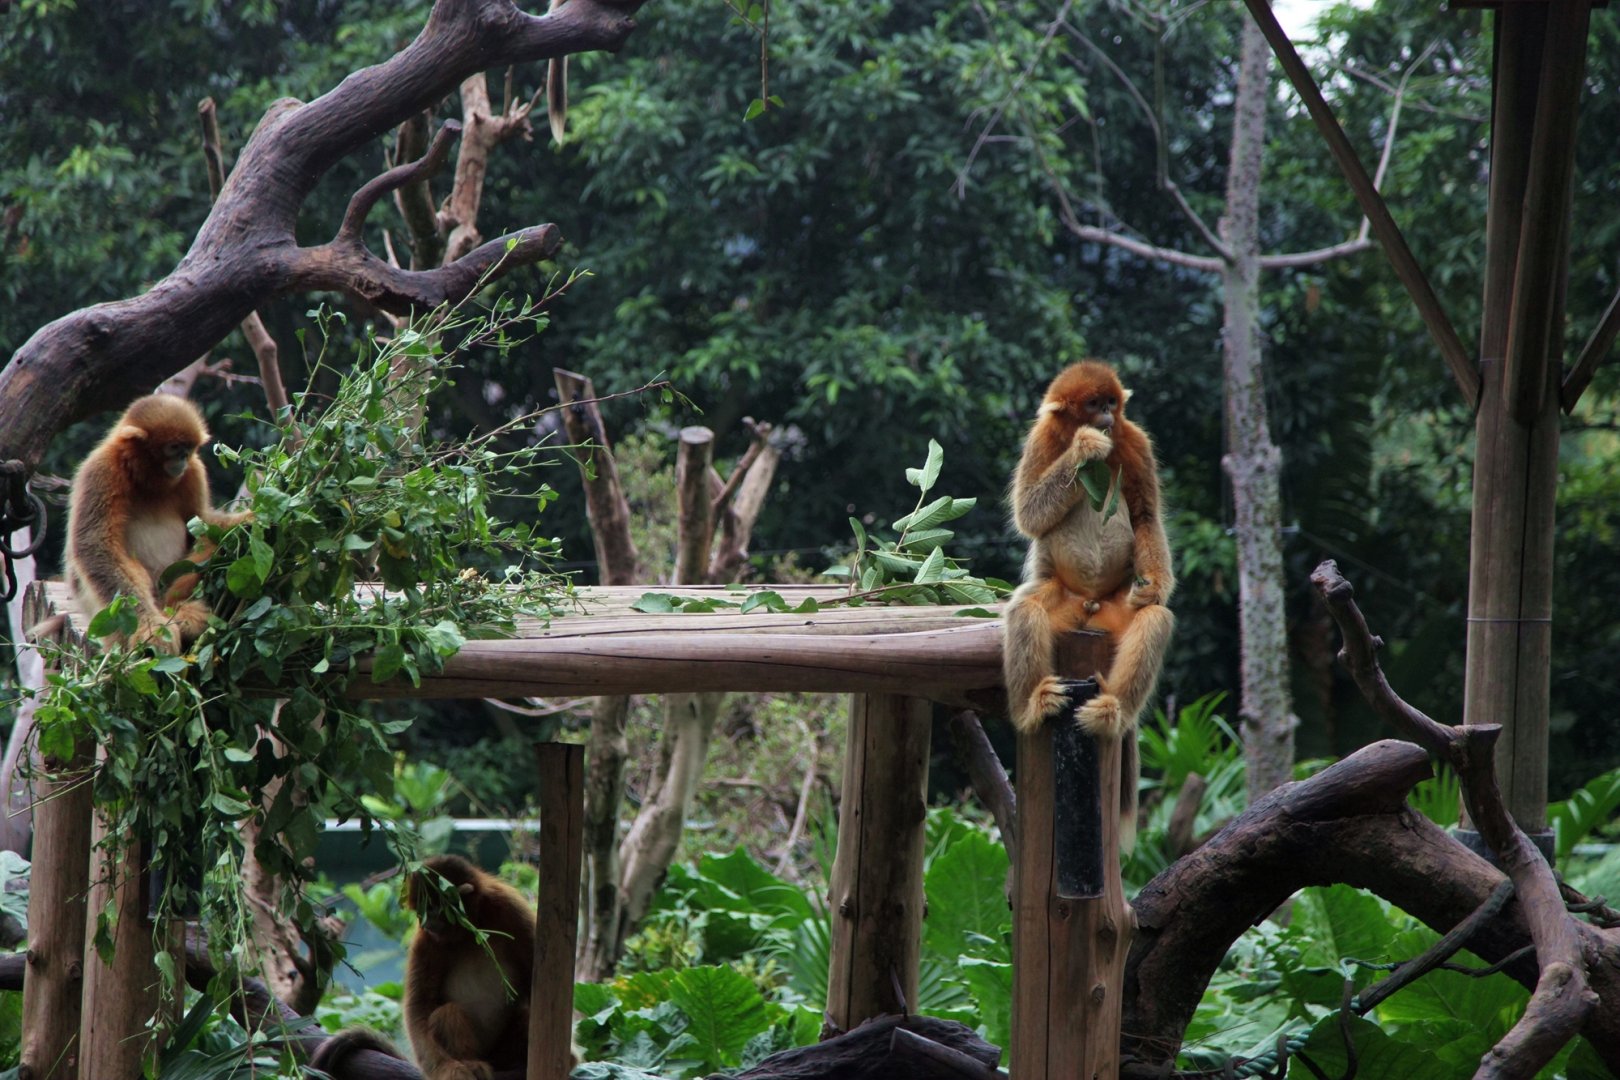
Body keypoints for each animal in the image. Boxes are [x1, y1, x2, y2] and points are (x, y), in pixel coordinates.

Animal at [64, 393, 250, 652]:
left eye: (188, 448)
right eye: (174, 447)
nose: (182, 458)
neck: (148, 481)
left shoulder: (193, 471)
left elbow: (202, 522)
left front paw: (250, 520)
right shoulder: (101, 468)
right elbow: (94, 545)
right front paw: (150, 627)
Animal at [402, 854, 536, 1080]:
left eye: (431, 908)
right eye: (421, 911)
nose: (425, 921)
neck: (471, 928)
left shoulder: (511, 907)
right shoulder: (426, 941)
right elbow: (419, 1008)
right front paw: (447, 1069)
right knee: (447, 1013)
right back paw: (471, 1063)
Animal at [1003, 361, 1175, 848]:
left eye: (1112, 404)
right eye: (1094, 404)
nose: (1106, 418)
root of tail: (1093, 607)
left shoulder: (1133, 439)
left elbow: (1144, 516)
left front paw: (1156, 587)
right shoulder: (1042, 437)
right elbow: (1029, 514)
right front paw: (1085, 447)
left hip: (1117, 608)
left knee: (1154, 619)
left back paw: (1111, 710)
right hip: (1062, 599)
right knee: (1026, 611)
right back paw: (1031, 708)